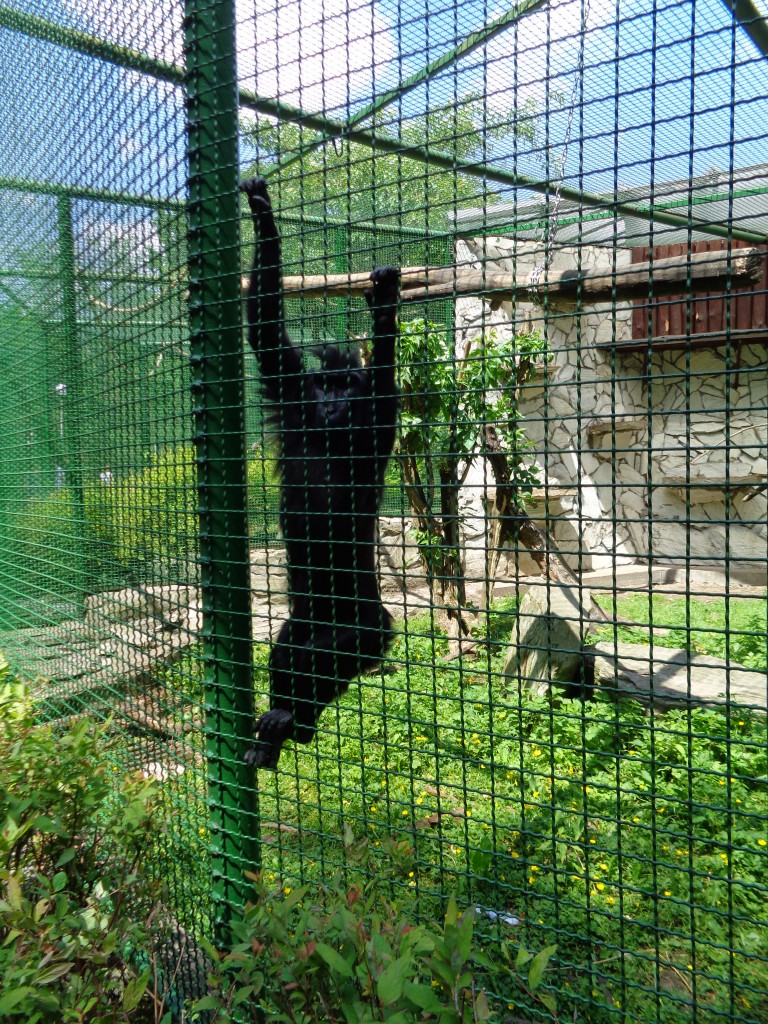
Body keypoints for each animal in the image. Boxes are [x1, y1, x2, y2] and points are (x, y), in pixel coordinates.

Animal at [241, 178, 403, 770]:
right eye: (324, 385)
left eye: (345, 386)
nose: (332, 402)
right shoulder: (293, 393)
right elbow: (266, 330)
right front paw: (262, 214)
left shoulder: (378, 419)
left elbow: (385, 375)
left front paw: (385, 311)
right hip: (303, 614)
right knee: (290, 648)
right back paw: (282, 727)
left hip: (366, 623)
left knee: (336, 652)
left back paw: (297, 721)